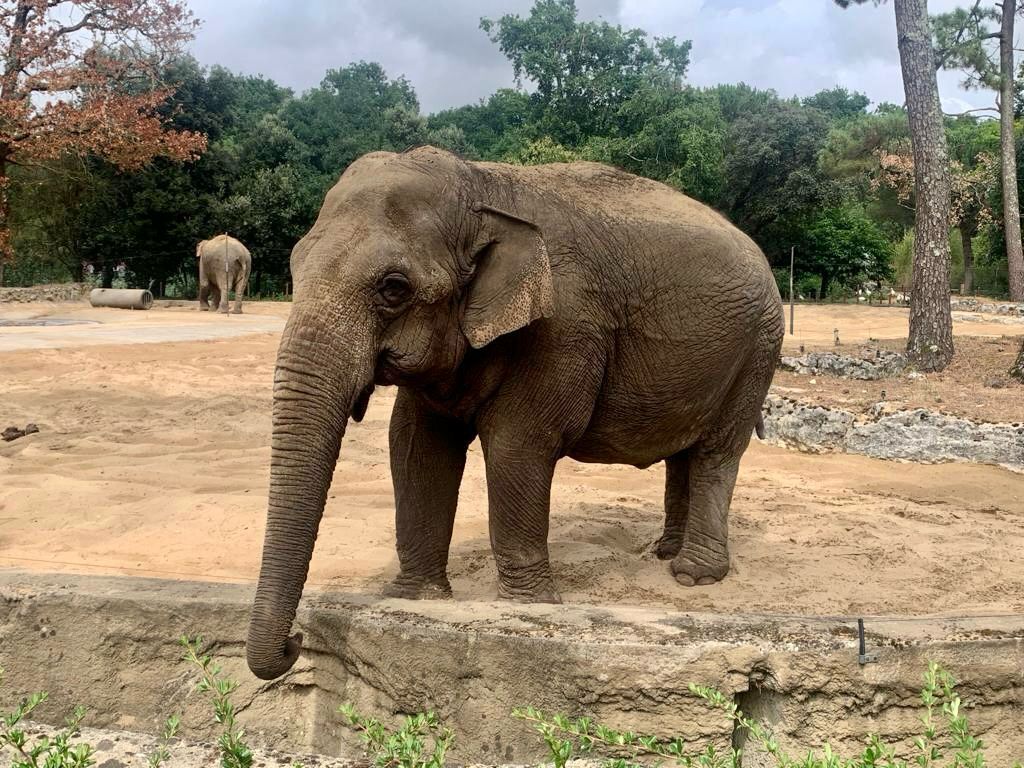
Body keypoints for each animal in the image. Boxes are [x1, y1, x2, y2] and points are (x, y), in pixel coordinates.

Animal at [246, 146, 784, 680]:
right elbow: (415, 445)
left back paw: (695, 576)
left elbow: (517, 444)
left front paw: (529, 608)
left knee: (716, 452)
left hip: (759, 349)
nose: (296, 641)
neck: (480, 186)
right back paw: (665, 553)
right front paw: (415, 599)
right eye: (296, 267)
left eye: (393, 288)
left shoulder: (562, 327)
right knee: (683, 452)